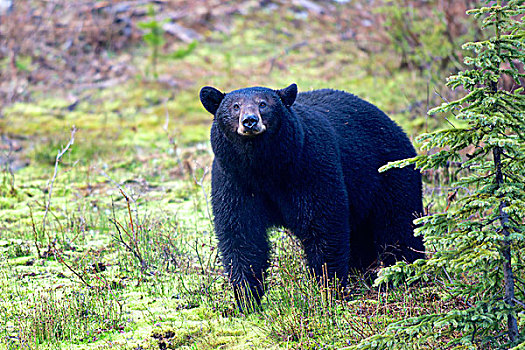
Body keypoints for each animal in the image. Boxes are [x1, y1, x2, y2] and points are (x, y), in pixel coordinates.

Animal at [199, 83, 424, 310]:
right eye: (235, 106)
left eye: (263, 104)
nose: (250, 121)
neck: (265, 168)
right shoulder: (234, 181)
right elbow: (241, 233)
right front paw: (247, 299)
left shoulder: (310, 168)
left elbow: (323, 224)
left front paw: (328, 289)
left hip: (390, 173)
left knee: (399, 225)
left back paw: (404, 272)